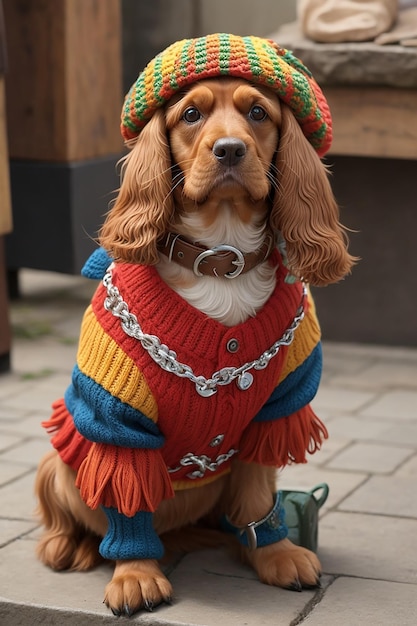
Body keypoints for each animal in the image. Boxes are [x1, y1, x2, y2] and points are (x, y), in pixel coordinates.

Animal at [35, 35, 354, 616]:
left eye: (258, 112)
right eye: (190, 114)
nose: (229, 149)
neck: (221, 258)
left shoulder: (275, 409)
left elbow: (258, 490)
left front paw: (273, 553)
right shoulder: (119, 418)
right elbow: (127, 499)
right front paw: (136, 573)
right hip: (61, 462)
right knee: (66, 513)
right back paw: (68, 545)